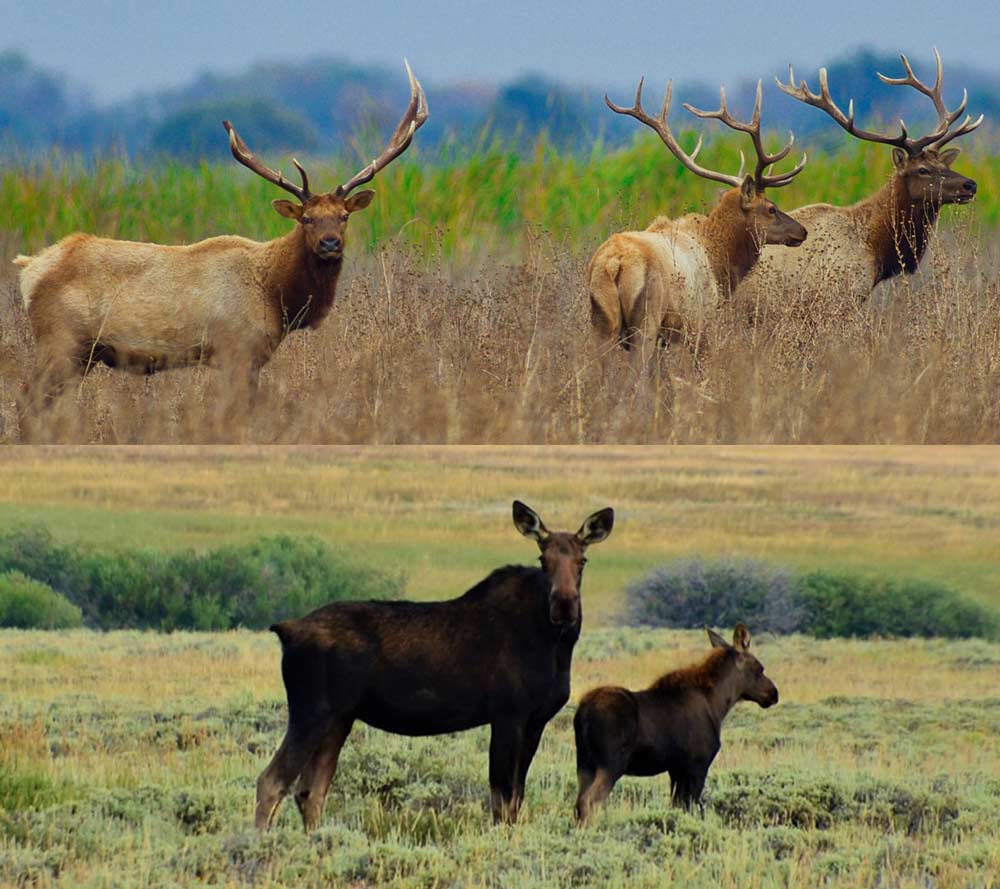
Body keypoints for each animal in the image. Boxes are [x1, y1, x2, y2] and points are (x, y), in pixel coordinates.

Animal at [13, 61, 428, 421]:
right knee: (28, 398)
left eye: (344, 217)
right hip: (60, 340)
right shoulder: (235, 348)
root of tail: (29, 268)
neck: (277, 295)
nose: (329, 244)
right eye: (306, 219)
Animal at [255, 500, 614, 832]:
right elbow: (501, 799)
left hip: (339, 717)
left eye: (582, 560)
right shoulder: (507, 714)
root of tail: (286, 630)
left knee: (310, 791)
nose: (565, 605)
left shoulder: (535, 721)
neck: (555, 646)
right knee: (271, 781)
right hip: (311, 711)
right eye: (543, 560)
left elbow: (516, 798)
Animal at [574, 623, 778, 824]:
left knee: (578, 803)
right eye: (760, 668)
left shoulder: (676, 768)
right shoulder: (698, 764)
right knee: (589, 801)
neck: (718, 705)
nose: (774, 693)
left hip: (584, 764)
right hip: (611, 764)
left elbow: (677, 806)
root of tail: (582, 714)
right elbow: (690, 806)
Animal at [588, 79, 808, 369]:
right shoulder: (702, 323)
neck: (720, 266)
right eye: (771, 208)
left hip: (600, 320)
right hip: (646, 319)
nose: (802, 231)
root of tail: (614, 263)